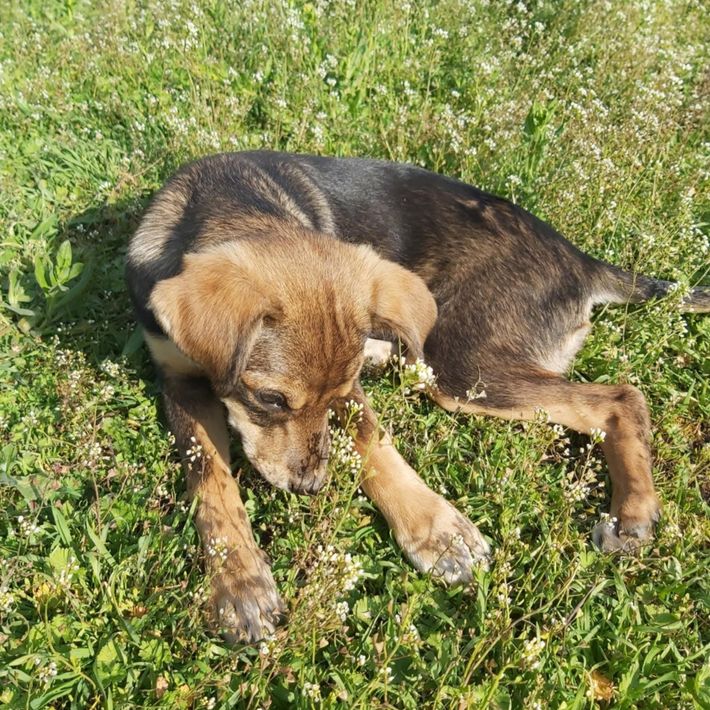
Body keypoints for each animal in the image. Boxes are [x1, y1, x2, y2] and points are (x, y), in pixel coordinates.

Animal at [126, 151, 708, 642]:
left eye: (331, 398)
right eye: (270, 399)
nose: (311, 487)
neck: (226, 200)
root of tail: (580, 259)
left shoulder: (352, 391)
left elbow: (374, 445)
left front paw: (437, 531)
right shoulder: (179, 381)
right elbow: (212, 483)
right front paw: (239, 585)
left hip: (456, 366)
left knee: (622, 396)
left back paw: (632, 512)